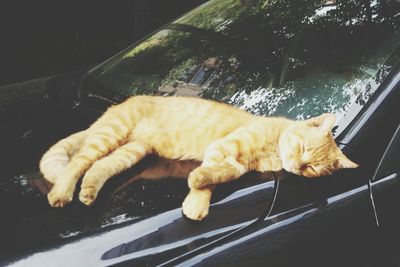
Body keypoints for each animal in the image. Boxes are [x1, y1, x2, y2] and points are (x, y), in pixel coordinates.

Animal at [41, 95, 360, 221]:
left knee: (98, 167)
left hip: (130, 151)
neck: (273, 148)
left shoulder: (235, 164)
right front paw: (195, 195)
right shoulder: (223, 147)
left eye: (315, 168)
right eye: (304, 148)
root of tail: (118, 104)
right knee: (78, 162)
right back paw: (61, 193)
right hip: (111, 135)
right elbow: (207, 176)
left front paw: (196, 197)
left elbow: (217, 177)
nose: (300, 165)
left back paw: (89, 191)